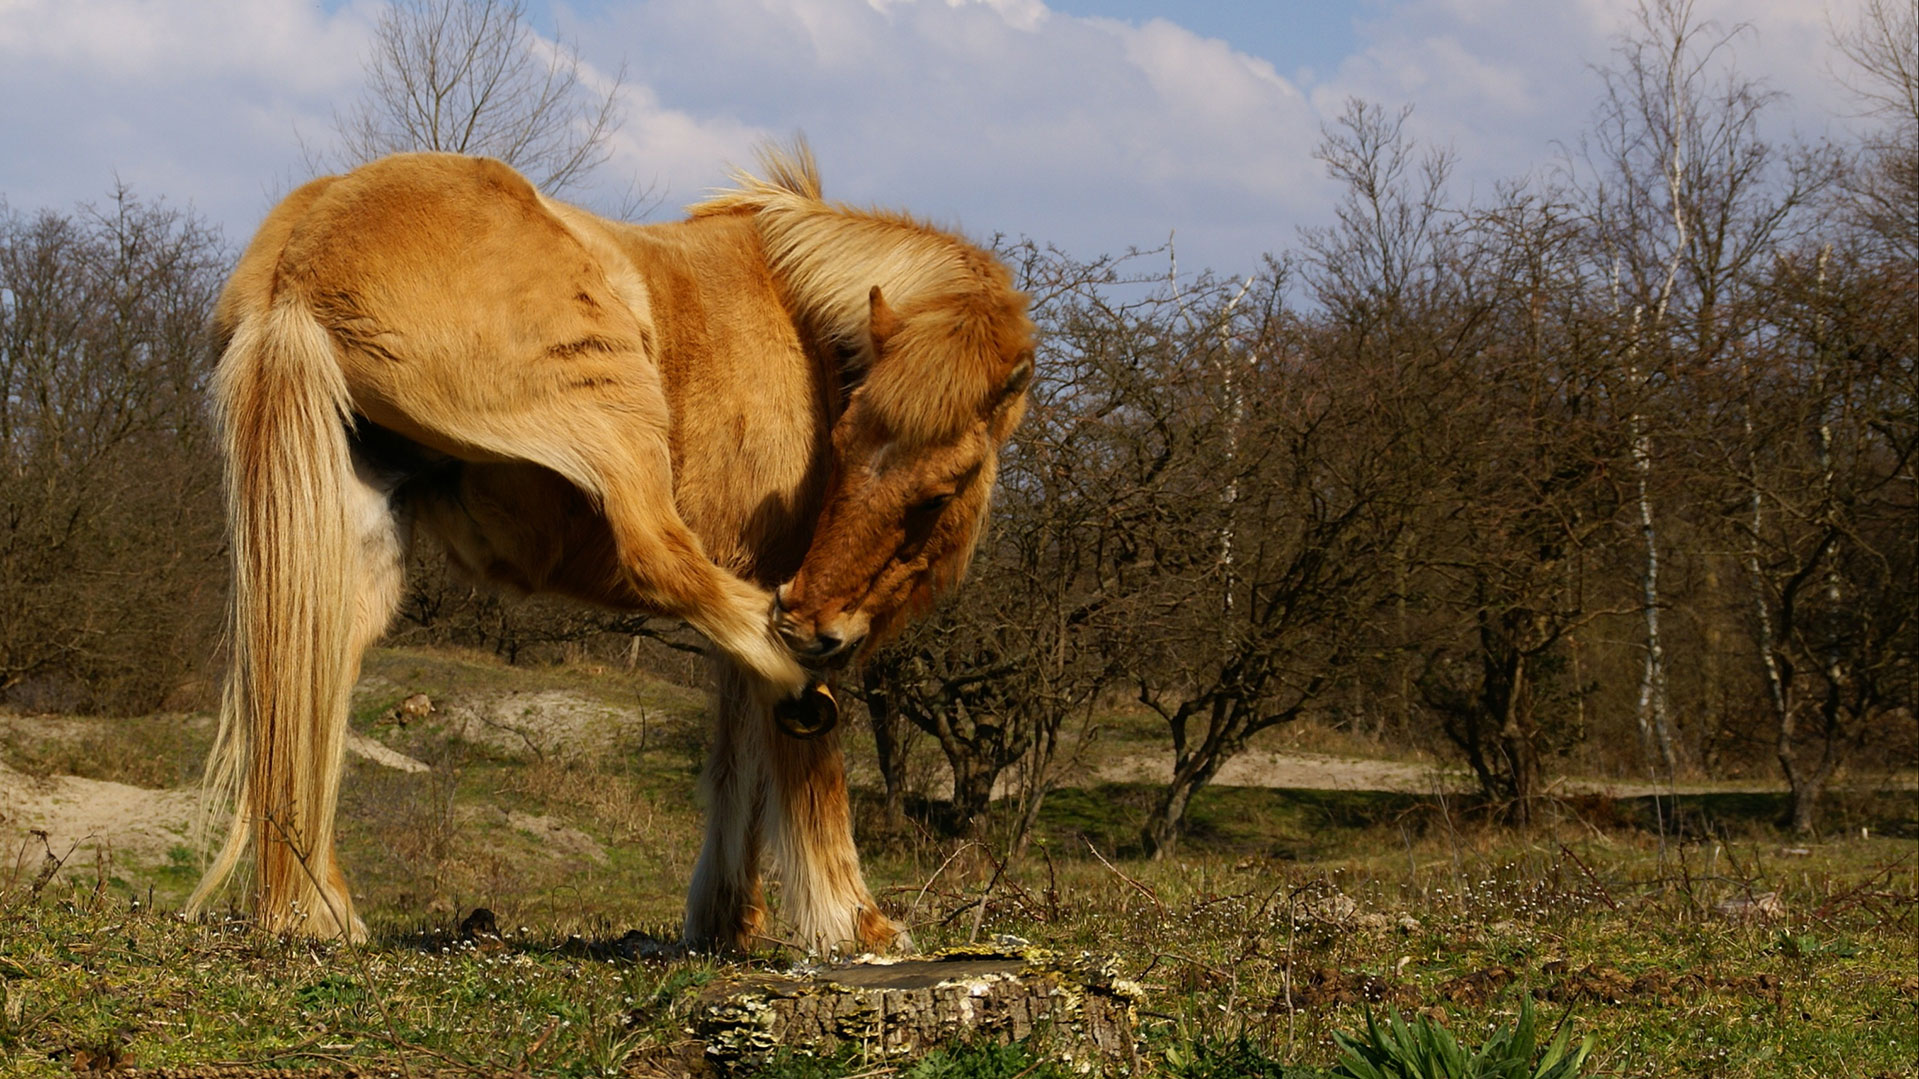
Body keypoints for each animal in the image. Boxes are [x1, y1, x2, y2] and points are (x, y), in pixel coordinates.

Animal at [186, 143, 1034, 955]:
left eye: (938, 492)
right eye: (842, 442)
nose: (811, 624)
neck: (802, 327)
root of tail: (302, 263)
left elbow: (735, 758)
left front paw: (728, 917)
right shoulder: (766, 567)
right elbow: (797, 763)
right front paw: (854, 920)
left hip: (349, 536)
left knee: (306, 690)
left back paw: (317, 909)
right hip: (610, 408)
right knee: (659, 557)